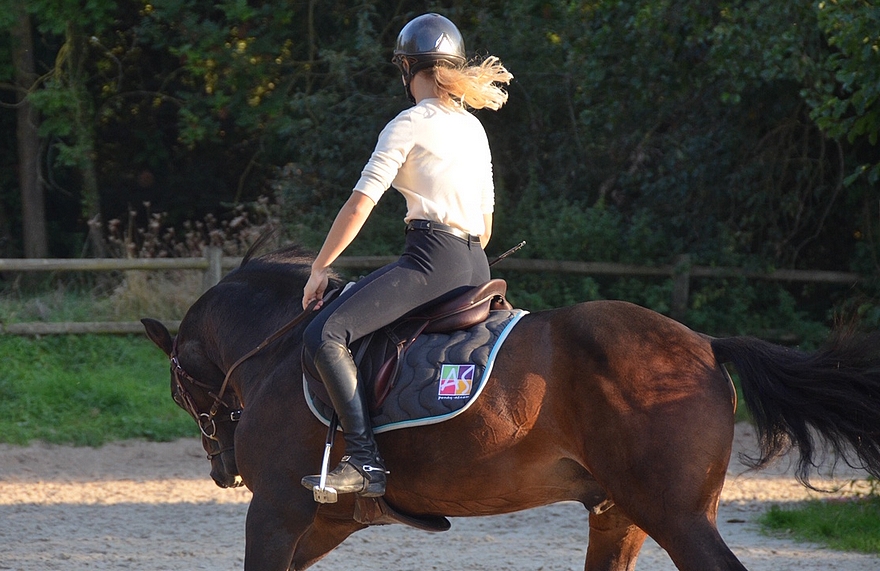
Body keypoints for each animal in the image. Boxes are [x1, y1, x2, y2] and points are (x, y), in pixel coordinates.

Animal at [141, 242, 880, 571]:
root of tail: (703, 343)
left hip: (676, 516)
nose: (223, 469)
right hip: (621, 514)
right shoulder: (323, 520)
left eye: (178, 389)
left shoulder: (276, 511)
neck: (279, 347)